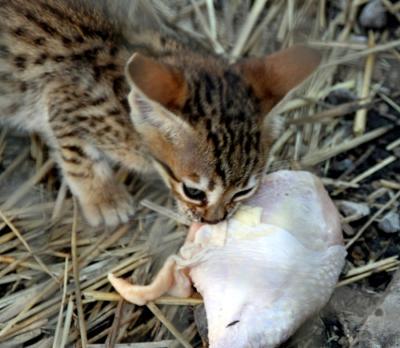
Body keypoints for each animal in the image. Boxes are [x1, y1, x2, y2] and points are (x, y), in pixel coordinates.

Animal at [0, 0, 320, 226]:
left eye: (243, 191)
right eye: (193, 191)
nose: (214, 221)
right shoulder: (63, 98)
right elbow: (78, 156)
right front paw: (104, 198)